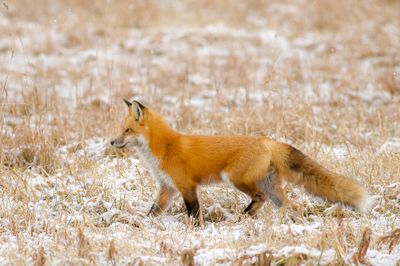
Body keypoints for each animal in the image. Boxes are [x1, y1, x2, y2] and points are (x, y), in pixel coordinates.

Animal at [111, 98, 374, 219]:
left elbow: (194, 211)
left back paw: (243, 216)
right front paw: (143, 225)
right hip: (271, 188)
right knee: (290, 205)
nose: (112, 142)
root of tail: (268, 141)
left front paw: (195, 230)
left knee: (260, 198)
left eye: (127, 130)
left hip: (237, 179)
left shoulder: (186, 186)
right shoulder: (167, 188)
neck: (164, 147)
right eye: (120, 129)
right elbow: (153, 211)